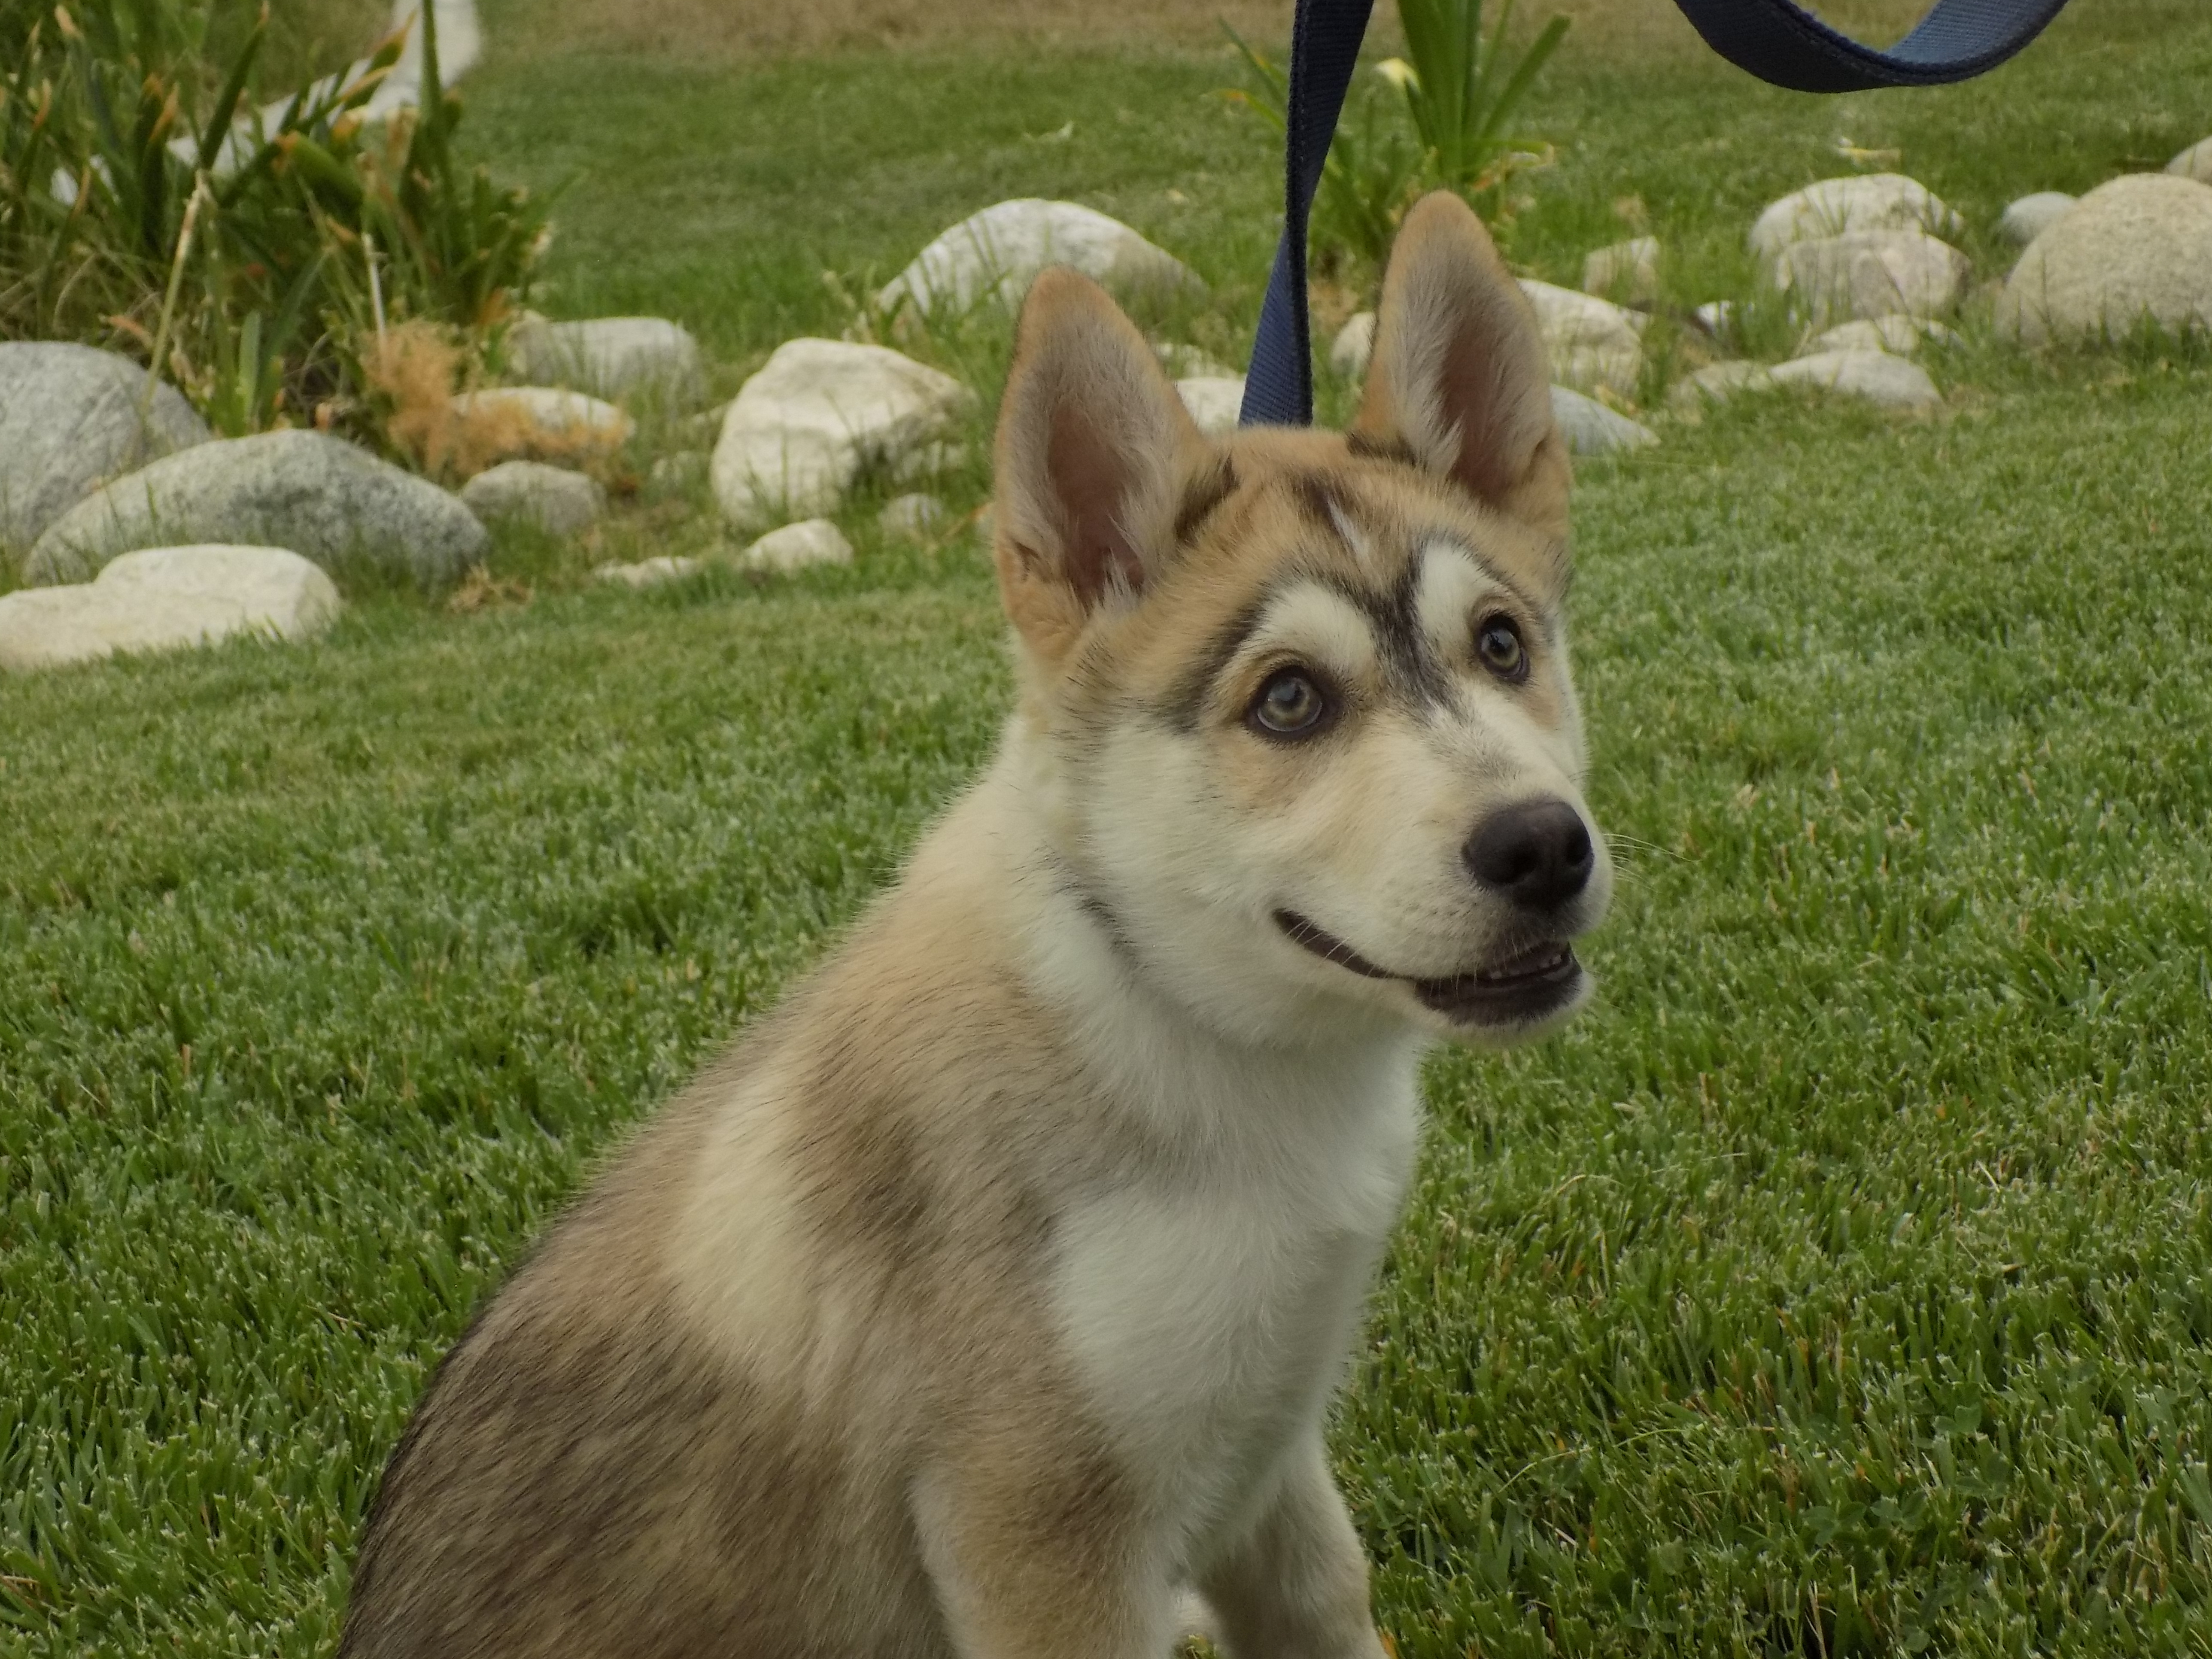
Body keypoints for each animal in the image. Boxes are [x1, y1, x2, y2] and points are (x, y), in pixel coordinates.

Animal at [345, 198, 1619, 1659]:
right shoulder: (1042, 1541)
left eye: (1503, 644)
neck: (1193, 1036)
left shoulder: (1275, 1469)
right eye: (1290, 700)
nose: (1543, 846)